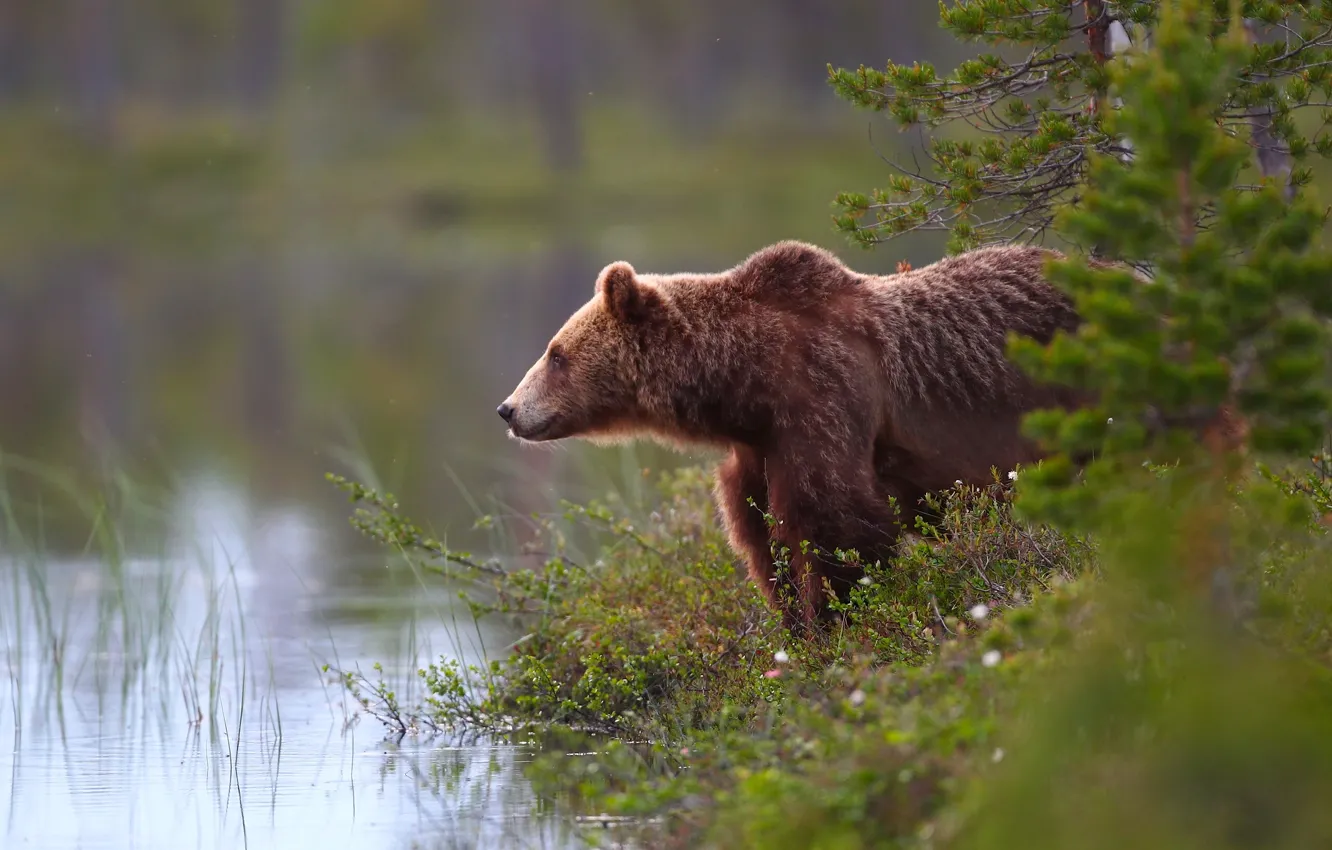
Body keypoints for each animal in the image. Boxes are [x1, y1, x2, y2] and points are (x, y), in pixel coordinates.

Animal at [495, 239, 1098, 634]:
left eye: (556, 353)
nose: (508, 409)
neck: (746, 381)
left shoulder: (823, 397)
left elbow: (835, 522)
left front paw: (835, 619)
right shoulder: (758, 449)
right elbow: (760, 534)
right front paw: (791, 621)